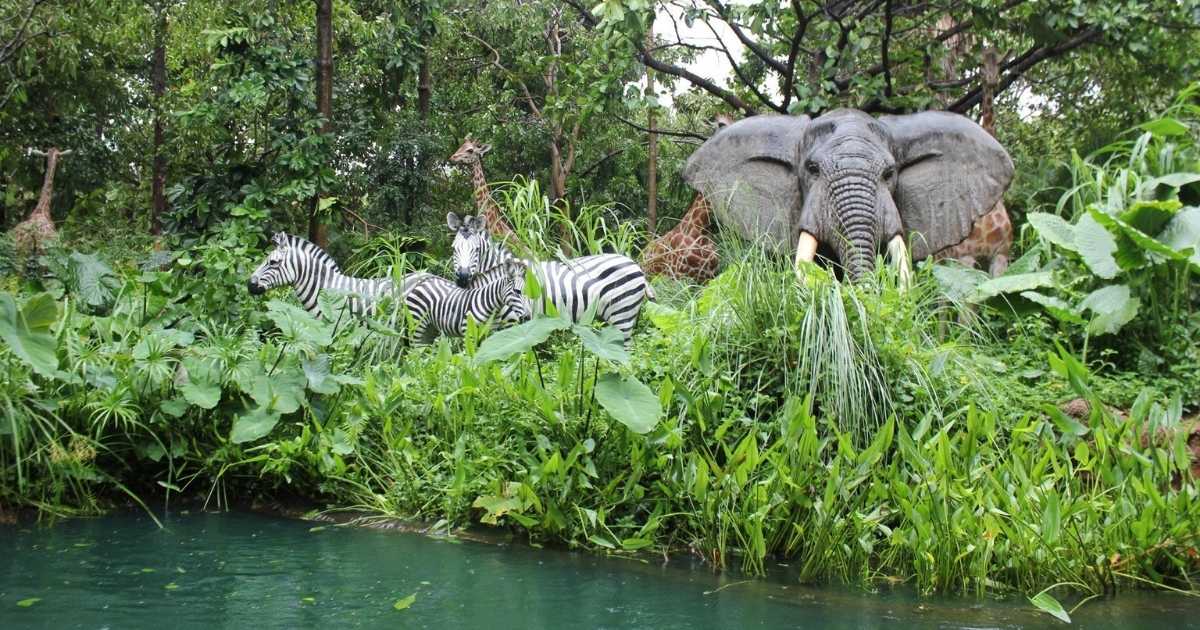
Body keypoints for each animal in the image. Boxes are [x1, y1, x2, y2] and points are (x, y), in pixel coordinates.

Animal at [448, 213, 657, 345]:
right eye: (453, 248)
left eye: (476, 250)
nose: (462, 279)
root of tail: (634, 264)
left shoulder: (515, 323)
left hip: (623, 314)